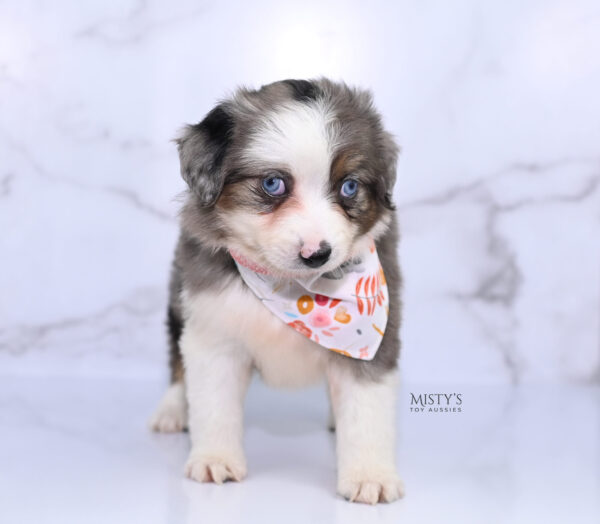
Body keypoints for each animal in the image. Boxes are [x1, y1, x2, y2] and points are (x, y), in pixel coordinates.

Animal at [149, 78, 404, 504]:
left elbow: (366, 409)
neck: (290, 289)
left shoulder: (376, 338)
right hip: (177, 298)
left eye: (349, 186)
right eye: (272, 183)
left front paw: (370, 476)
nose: (317, 254)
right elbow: (213, 402)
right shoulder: (213, 331)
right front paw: (215, 459)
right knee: (176, 360)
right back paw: (172, 410)